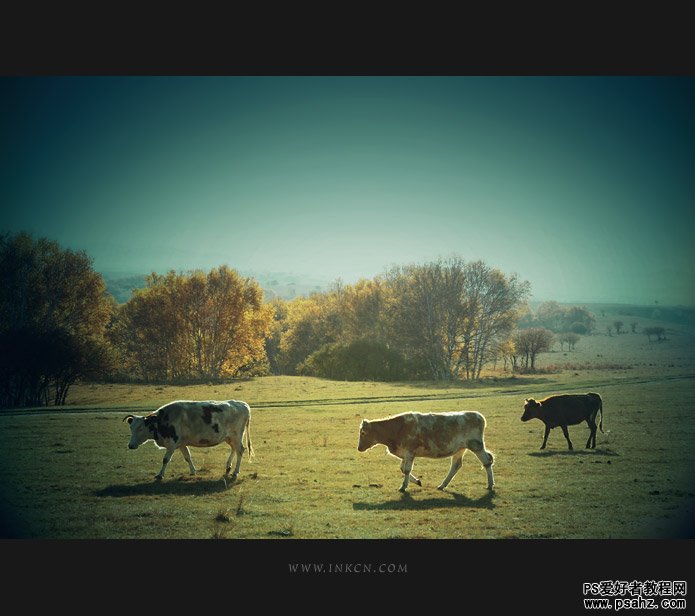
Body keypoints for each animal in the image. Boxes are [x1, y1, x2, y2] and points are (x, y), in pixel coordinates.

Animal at [124, 400, 253, 482]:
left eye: (141, 428)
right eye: (131, 428)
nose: (130, 445)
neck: (161, 421)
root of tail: (242, 404)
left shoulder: (172, 443)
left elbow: (165, 459)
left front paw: (160, 475)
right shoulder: (181, 443)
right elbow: (187, 457)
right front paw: (192, 471)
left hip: (236, 435)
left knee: (240, 450)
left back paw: (235, 472)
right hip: (230, 437)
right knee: (234, 449)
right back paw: (228, 467)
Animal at [358, 412, 494, 494]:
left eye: (363, 433)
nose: (359, 448)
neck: (397, 428)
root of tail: (478, 416)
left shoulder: (409, 452)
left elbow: (406, 470)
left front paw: (403, 486)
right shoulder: (405, 454)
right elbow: (402, 468)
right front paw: (417, 481)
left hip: (476, 445)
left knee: (487, 462)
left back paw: (490, 485)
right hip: (460, 449)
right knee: (456, 465)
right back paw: (442, 485)